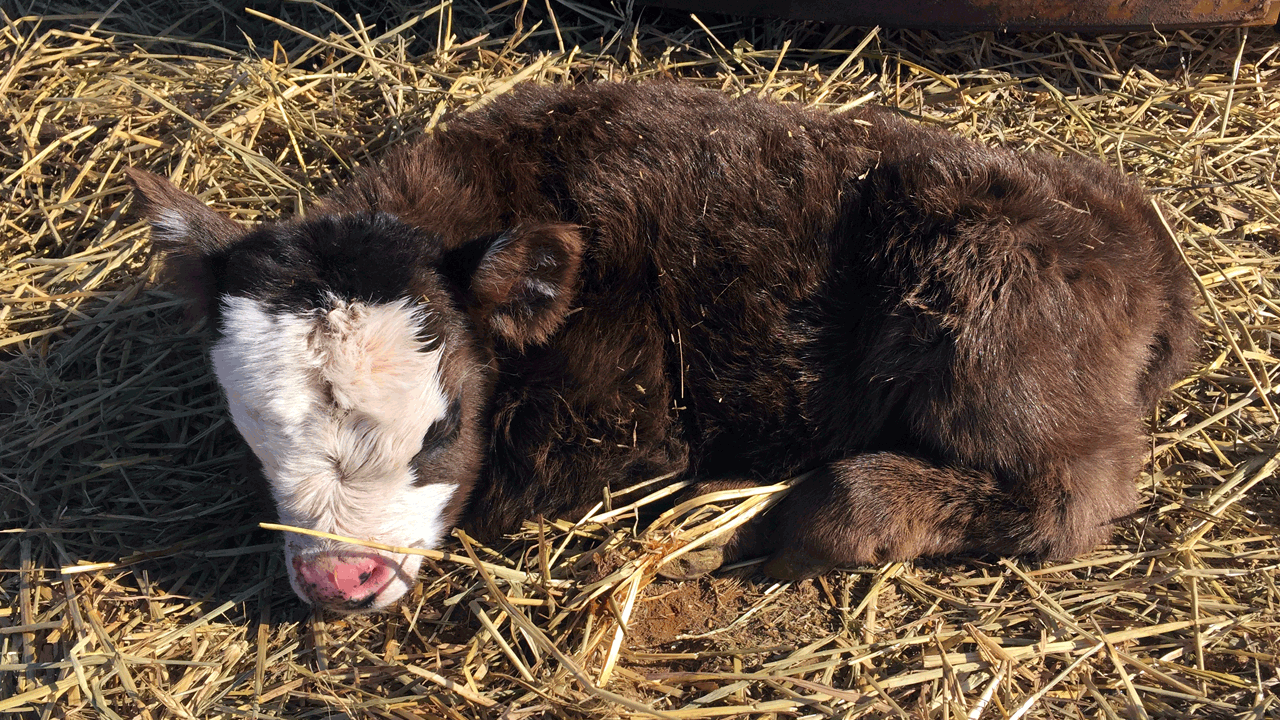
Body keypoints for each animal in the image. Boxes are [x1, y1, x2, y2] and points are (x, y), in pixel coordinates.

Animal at [124, 82, 1192, 609]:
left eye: (446, 425)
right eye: (254, 432)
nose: (341, 581)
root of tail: (1141, 231)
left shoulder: (621, 425)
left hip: (990, 316)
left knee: (1070, 495)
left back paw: (772, 518)